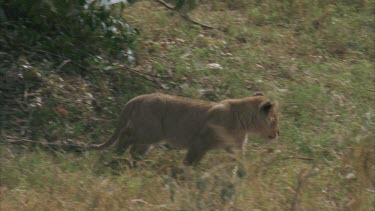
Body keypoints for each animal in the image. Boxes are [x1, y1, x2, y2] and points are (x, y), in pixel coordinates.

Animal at [90, 92, 280, 165]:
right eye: (275, 121)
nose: (278, 133)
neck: (244, 123)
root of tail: (138, 97)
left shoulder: (234, 146)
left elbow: (239, 161)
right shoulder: (200, 141)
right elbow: (191, 160)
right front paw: (185, 174)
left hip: (149, 137)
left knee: (136, 149)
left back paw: (137, 163)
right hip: (150, 132)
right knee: (126, 136)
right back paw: (119, 154)